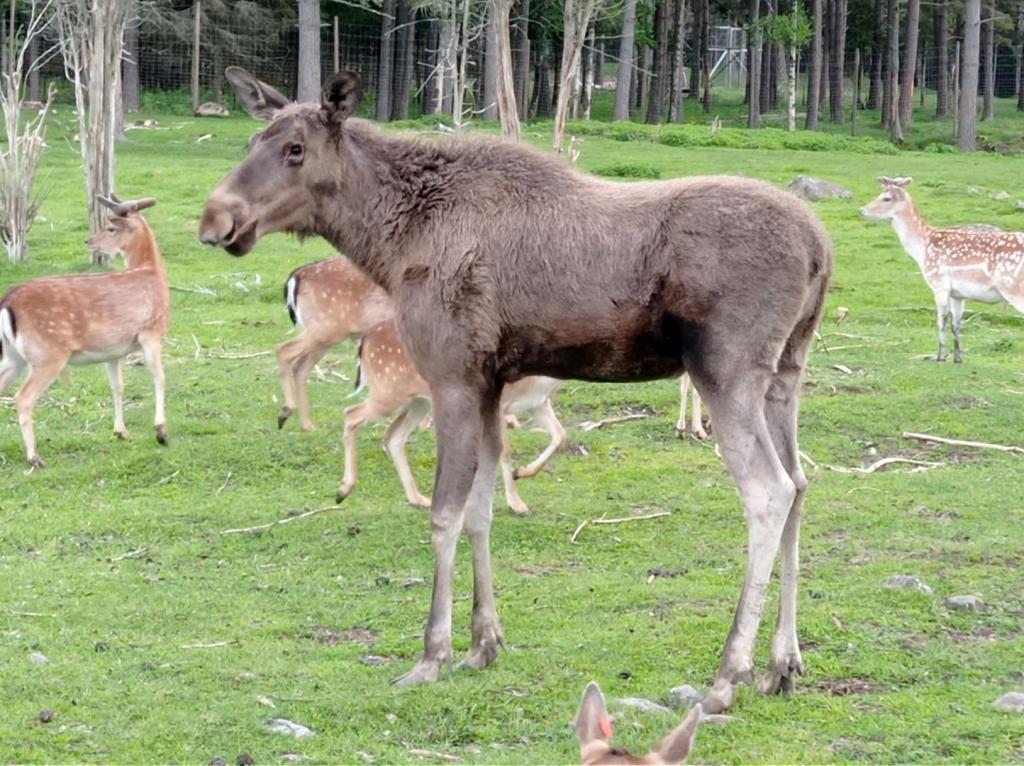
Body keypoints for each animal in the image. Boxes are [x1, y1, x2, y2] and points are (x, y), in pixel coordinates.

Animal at [0, 195, 169, 466]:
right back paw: (34, 457)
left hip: (13, 356)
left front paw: (121, 432)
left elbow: (117, 386)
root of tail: (7, 303)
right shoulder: (151, 331)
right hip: (48, 354)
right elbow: (160, 377)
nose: (89, 241)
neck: (152, 273)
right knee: (23, 397)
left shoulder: (113, 350)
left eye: (110, 228)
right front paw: (161, 431)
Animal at [276, 256, 391, 430]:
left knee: (300, 366)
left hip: (323, 335)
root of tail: (296, 274)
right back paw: (286, 412)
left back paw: (307, 425)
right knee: (283, 349)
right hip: (325, 328)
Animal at [335, 317, 565, 514]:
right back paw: (343, 490)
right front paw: (517, 504)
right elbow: (505, 451)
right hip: (387, 392)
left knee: (393, 436)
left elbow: (560, 435)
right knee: (350, 414)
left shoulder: (539, 403)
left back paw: (418, 499)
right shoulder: (500, 403)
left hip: (418, 402)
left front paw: (522, 472)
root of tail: (365, 341)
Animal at [864, 176, 1024, 362]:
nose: (862, 210)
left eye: (886, 198)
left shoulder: (939, 283)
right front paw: (957, 359)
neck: (923, 250)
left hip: (1014, 288)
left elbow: (941, 321)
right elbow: (956, 324)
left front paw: (940, 356)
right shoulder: (958, 294)